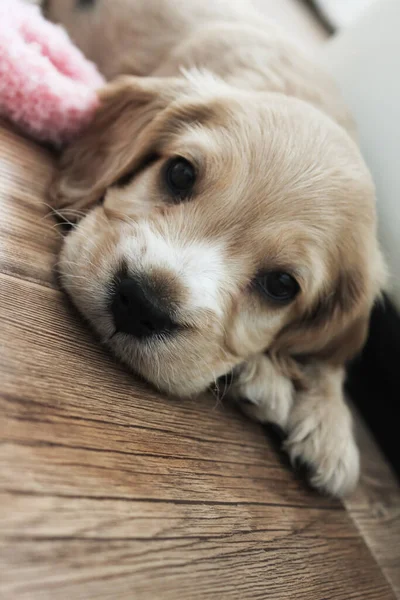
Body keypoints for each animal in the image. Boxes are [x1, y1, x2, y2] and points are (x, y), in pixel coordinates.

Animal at [45, 0, 386, 496]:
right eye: (180, 173)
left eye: (281, 285)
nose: (140, 304)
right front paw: (275, 382)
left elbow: (330, 358)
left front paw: (331, 428)